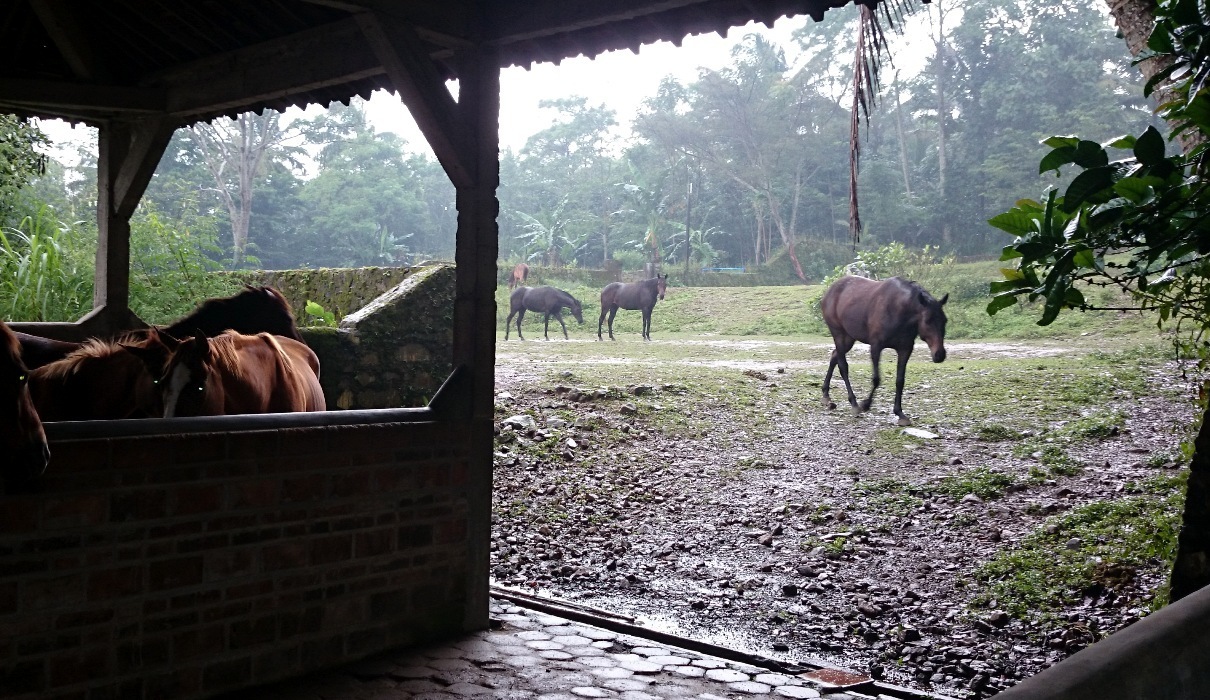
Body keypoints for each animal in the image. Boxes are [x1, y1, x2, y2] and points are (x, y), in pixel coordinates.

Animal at [817, 276, 948, 430]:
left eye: (945, 320)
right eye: (927, 321)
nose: (940, 355)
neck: (899, 309)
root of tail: (829, 292)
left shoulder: (905, 349)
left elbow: (900, 381)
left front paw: (900, 414)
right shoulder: (876, 347)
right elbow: (876, 379)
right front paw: (866, 404)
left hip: (849, 338)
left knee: (834, 356)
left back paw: (826, 396)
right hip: (839, 334)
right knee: (843, 366)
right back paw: (854, 404)